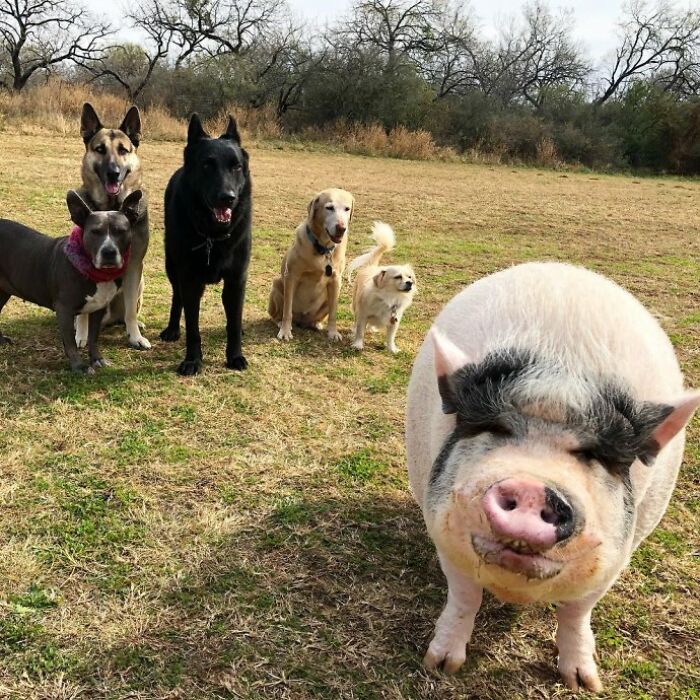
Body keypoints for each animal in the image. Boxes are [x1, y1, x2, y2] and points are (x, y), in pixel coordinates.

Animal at [0, 189, 142, 374]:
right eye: (95, 232)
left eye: (121, 231)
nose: (109, 252)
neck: (94, 272)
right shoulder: (64, 310)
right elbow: (71, 343)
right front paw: (79, 366)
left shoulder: (98, 309)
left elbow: (93, 338)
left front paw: (96, 359)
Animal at [161, 113, 252, 378]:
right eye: (207, 166)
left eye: (236, 166)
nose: (228, 197)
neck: (213, 234)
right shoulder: (190, 281)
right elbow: (193, 328)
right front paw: (193, 360)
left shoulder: (236, 281)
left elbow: (232, 323)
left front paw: (235, 356)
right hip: (172, 267)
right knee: (177, 297)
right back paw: (173, 328)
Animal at [346, 223, 416, 356]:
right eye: (398, 277)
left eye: (410, 277)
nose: (410, 283)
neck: (390, 297)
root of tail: (371, 266)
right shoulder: (363, 315)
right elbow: (360, 331)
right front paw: (358, 345)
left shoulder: (394, 321)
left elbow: (390, 337)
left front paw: (392, 349)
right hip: (355, 305)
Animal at [404, 262, 700, 688]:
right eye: (497, 428)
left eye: (592, 453)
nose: (531, 487)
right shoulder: (443, 527)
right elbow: (464, 596)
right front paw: (441, 666)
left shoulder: (618, 554)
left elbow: (577, 610)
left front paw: (584, 683)